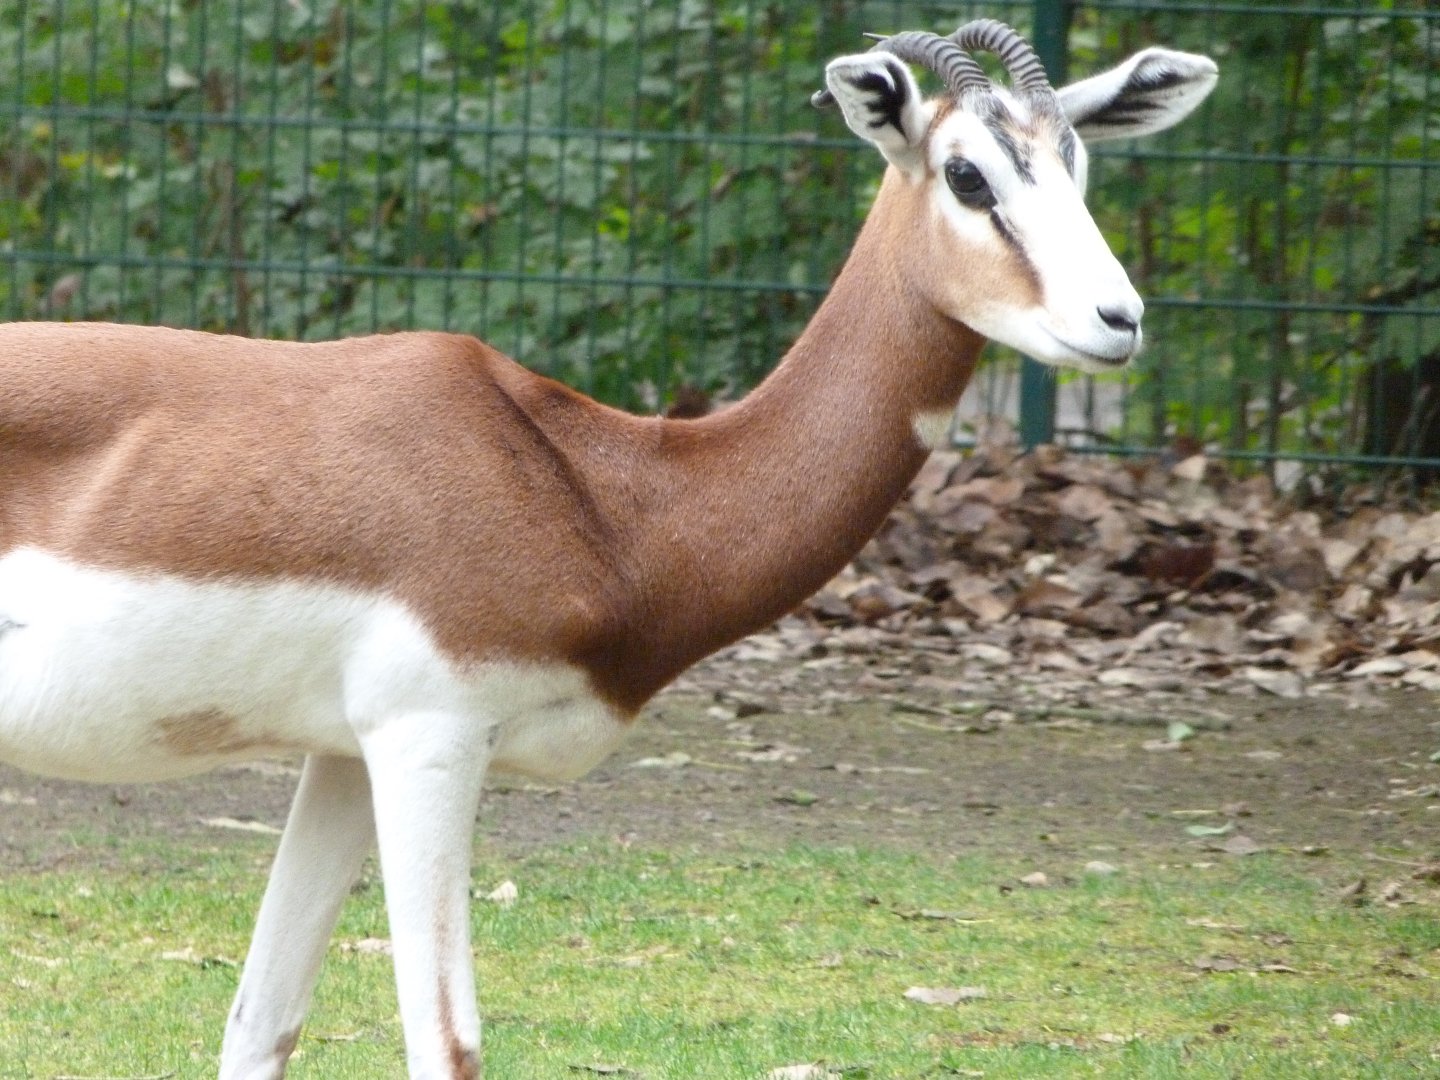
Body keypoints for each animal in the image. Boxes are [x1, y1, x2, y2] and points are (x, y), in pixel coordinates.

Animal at [0, 20, 1216, 1079]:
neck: (603, 494)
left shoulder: (343, 754)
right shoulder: (431, 739)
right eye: (969, 175)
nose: (1119, 321)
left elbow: (262, 1022)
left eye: (1078, 164)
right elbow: (447, 1044)